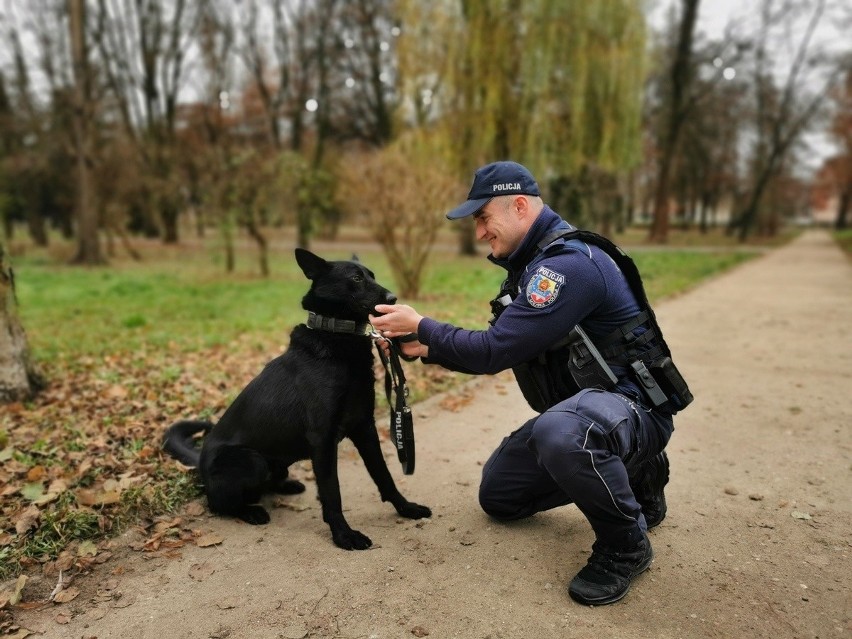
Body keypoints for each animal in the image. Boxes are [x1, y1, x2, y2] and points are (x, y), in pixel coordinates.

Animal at [165, 250, 432, 552]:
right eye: (355, 278)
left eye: (372, 275)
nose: (393, 298)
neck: (337, 335)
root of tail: (199, 461)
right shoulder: (323, 439)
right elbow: (332, 493)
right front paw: (344, 535)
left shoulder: (365, 428)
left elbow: (384, 475)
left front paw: (405, 508)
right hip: (251, 461)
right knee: (218, 503)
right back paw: (250, 511)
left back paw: (287, 486)